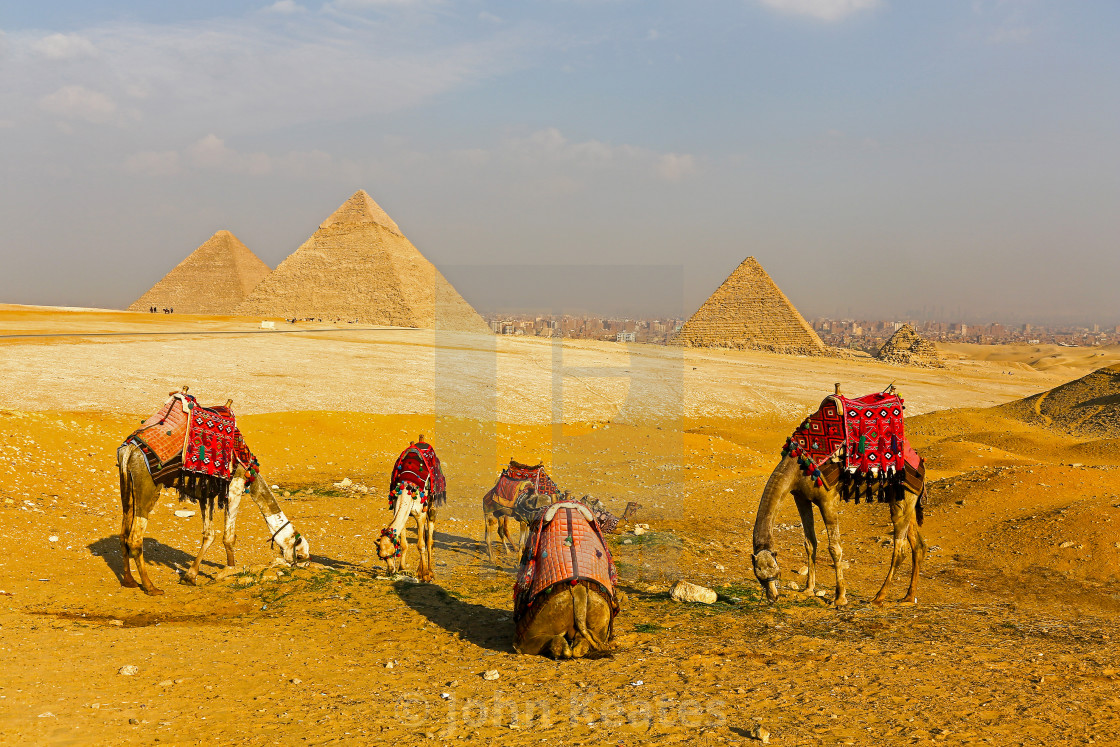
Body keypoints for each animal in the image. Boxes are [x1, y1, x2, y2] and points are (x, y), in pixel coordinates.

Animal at [116, 443, 311, 595]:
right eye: (300, 555)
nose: (306, 564)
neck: (249, 472)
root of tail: (129, 450)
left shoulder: (206, 493)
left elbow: (209, 534)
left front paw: (190, 576)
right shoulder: (234, 488)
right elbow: (228, 537)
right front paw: (231, 570)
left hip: (127, 485)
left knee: (123, 533)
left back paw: (129, 581)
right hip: (147, 487)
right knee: (135, 538)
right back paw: (151, 587)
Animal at [752, 456, 927, 609]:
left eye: (777, 572)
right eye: (759, 576)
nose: (772, 597)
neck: (795, 468)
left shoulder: (828, 500)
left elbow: (834, 548)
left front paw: (840, 598)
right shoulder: (801, 497)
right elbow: (810, 543)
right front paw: (808, 590)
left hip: (902, 495)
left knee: (900, 549)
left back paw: (878, 598)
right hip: (902, 497)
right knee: (918, 545)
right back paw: (909, 597)